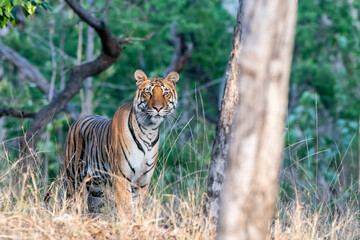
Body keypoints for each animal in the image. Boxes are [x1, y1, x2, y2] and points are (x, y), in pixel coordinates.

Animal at [62, 70, 180, 214]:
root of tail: (77, 121)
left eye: (165, 93)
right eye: (148, 93)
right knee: (69, 203)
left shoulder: (143, 181)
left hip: (97, 189)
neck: (149, 130)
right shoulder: (121, 177)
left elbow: (138, 206)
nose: (158, 108)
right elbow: (126, 207)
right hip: (73, 179)